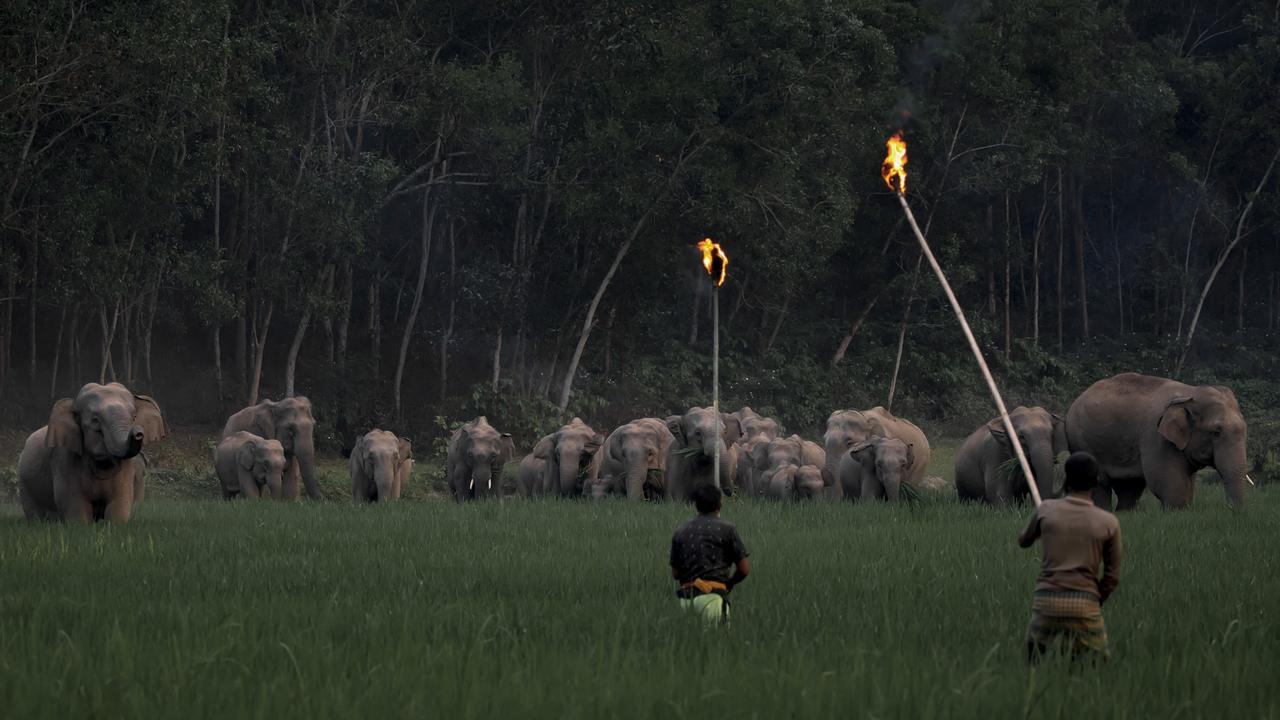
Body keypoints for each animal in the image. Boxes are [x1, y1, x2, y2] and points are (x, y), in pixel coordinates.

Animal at [17, 381, 166, 520]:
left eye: (134, 417)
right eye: (95, 420)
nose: (138, 433)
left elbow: (120, 504)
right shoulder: (63, 459)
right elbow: (74, 505)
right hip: (24, 482)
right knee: (34, 513)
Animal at [1059, 371, 1249, 507]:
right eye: (1216, 432)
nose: (1232, 512)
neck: (1190, 393)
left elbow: (1188, 481)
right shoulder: (1155, 436)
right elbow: (1167, 481)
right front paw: (1177, 513)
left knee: (1129, 488)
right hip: (1082, 440)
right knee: (1099, 483)